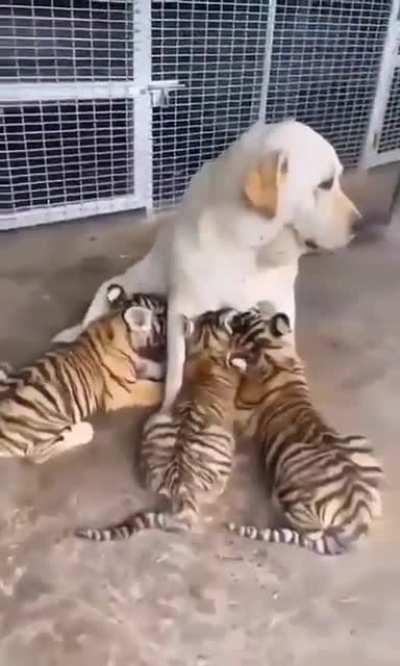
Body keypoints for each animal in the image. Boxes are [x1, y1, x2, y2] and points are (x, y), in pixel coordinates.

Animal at [0, 290, 166, 463]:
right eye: (161, 313)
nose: (166, 302)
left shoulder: (136, 364)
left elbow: (147, 364)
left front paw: (163, 367)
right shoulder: (124, 390)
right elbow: (152, 389)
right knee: (39, 454)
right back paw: (84, 430)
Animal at [227, 308, 383, 556]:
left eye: (247, 316)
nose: (234, 314)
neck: (271, 349)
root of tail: (357, 517)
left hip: (288, 492)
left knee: (311, 534)